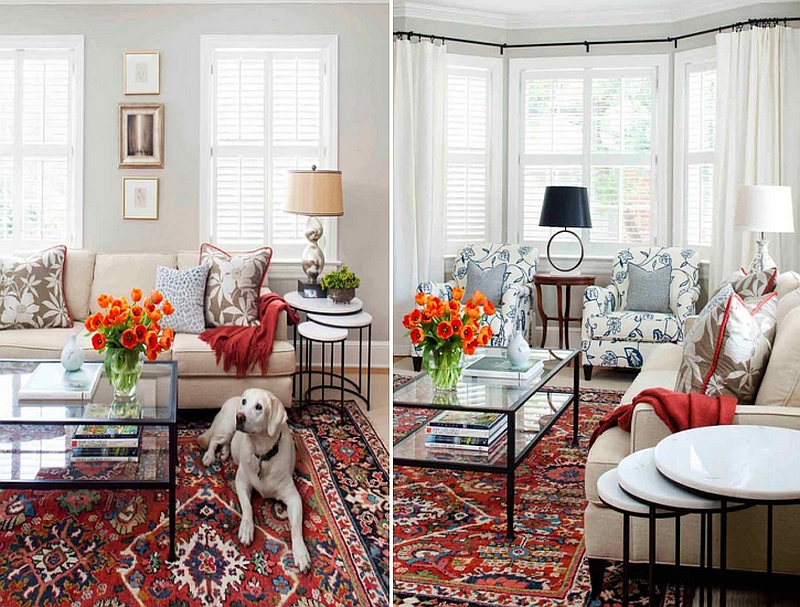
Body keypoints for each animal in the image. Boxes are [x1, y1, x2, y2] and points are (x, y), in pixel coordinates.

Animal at [197, 392, 310, 572]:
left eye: (259, 407)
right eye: (244, 402)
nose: (239, 416)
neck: (263, 455)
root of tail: (231, 398)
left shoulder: (294, 497)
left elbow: (296, 526)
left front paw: (300, 552)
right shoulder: (241, 482)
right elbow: (247, 507)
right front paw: (246, 529)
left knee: (226, 443)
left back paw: (224, 453)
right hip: (226, 428)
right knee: (214, 439)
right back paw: (209, 456)